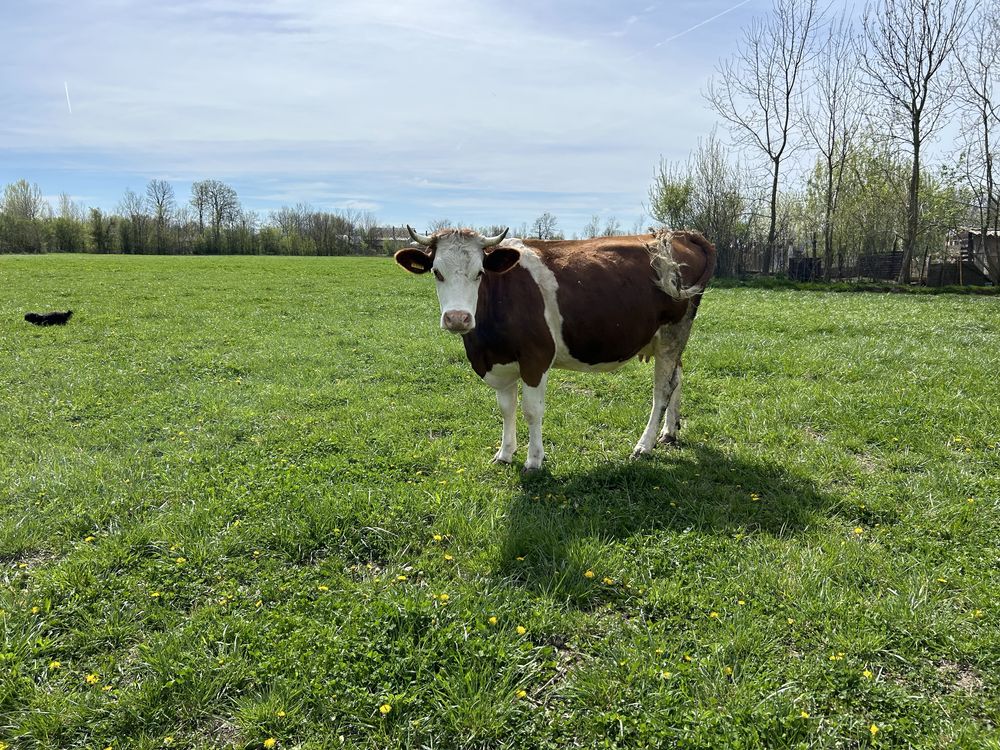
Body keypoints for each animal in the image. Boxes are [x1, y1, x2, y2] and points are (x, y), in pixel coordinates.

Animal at [394, 225, 716, 470]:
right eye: (437, 272)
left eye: (479, 273)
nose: (457, 318)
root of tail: (679, 233)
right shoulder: (498, 362)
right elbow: (506, 408)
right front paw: (504, 453)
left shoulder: (536, 358)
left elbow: (531, 411)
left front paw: (534, 460)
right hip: (670, 338)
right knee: (677, 378)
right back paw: (669, 433)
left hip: (673, 329)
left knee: (662, 388)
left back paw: (644, 445)